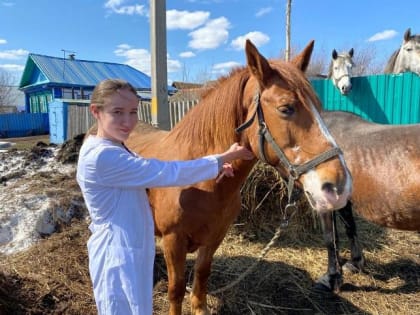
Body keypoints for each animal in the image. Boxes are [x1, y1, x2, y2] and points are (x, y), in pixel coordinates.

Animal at [123, 40, 352, 315]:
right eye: (286, 108)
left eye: (319, 107)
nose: (339, 187)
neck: (200, 179)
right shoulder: (173, 241)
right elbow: (176, 289)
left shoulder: (214, 238)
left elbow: (201, 276)